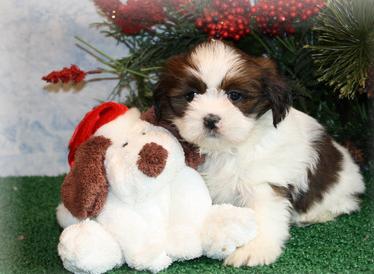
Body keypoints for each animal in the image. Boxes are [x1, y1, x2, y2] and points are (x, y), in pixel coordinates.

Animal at [152, 41, 366, 268]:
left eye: (235, 95)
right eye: (191, 95)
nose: (210, 119)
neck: (227, 149)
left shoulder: (264, 182)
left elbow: (264, 214)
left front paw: (254, 249)